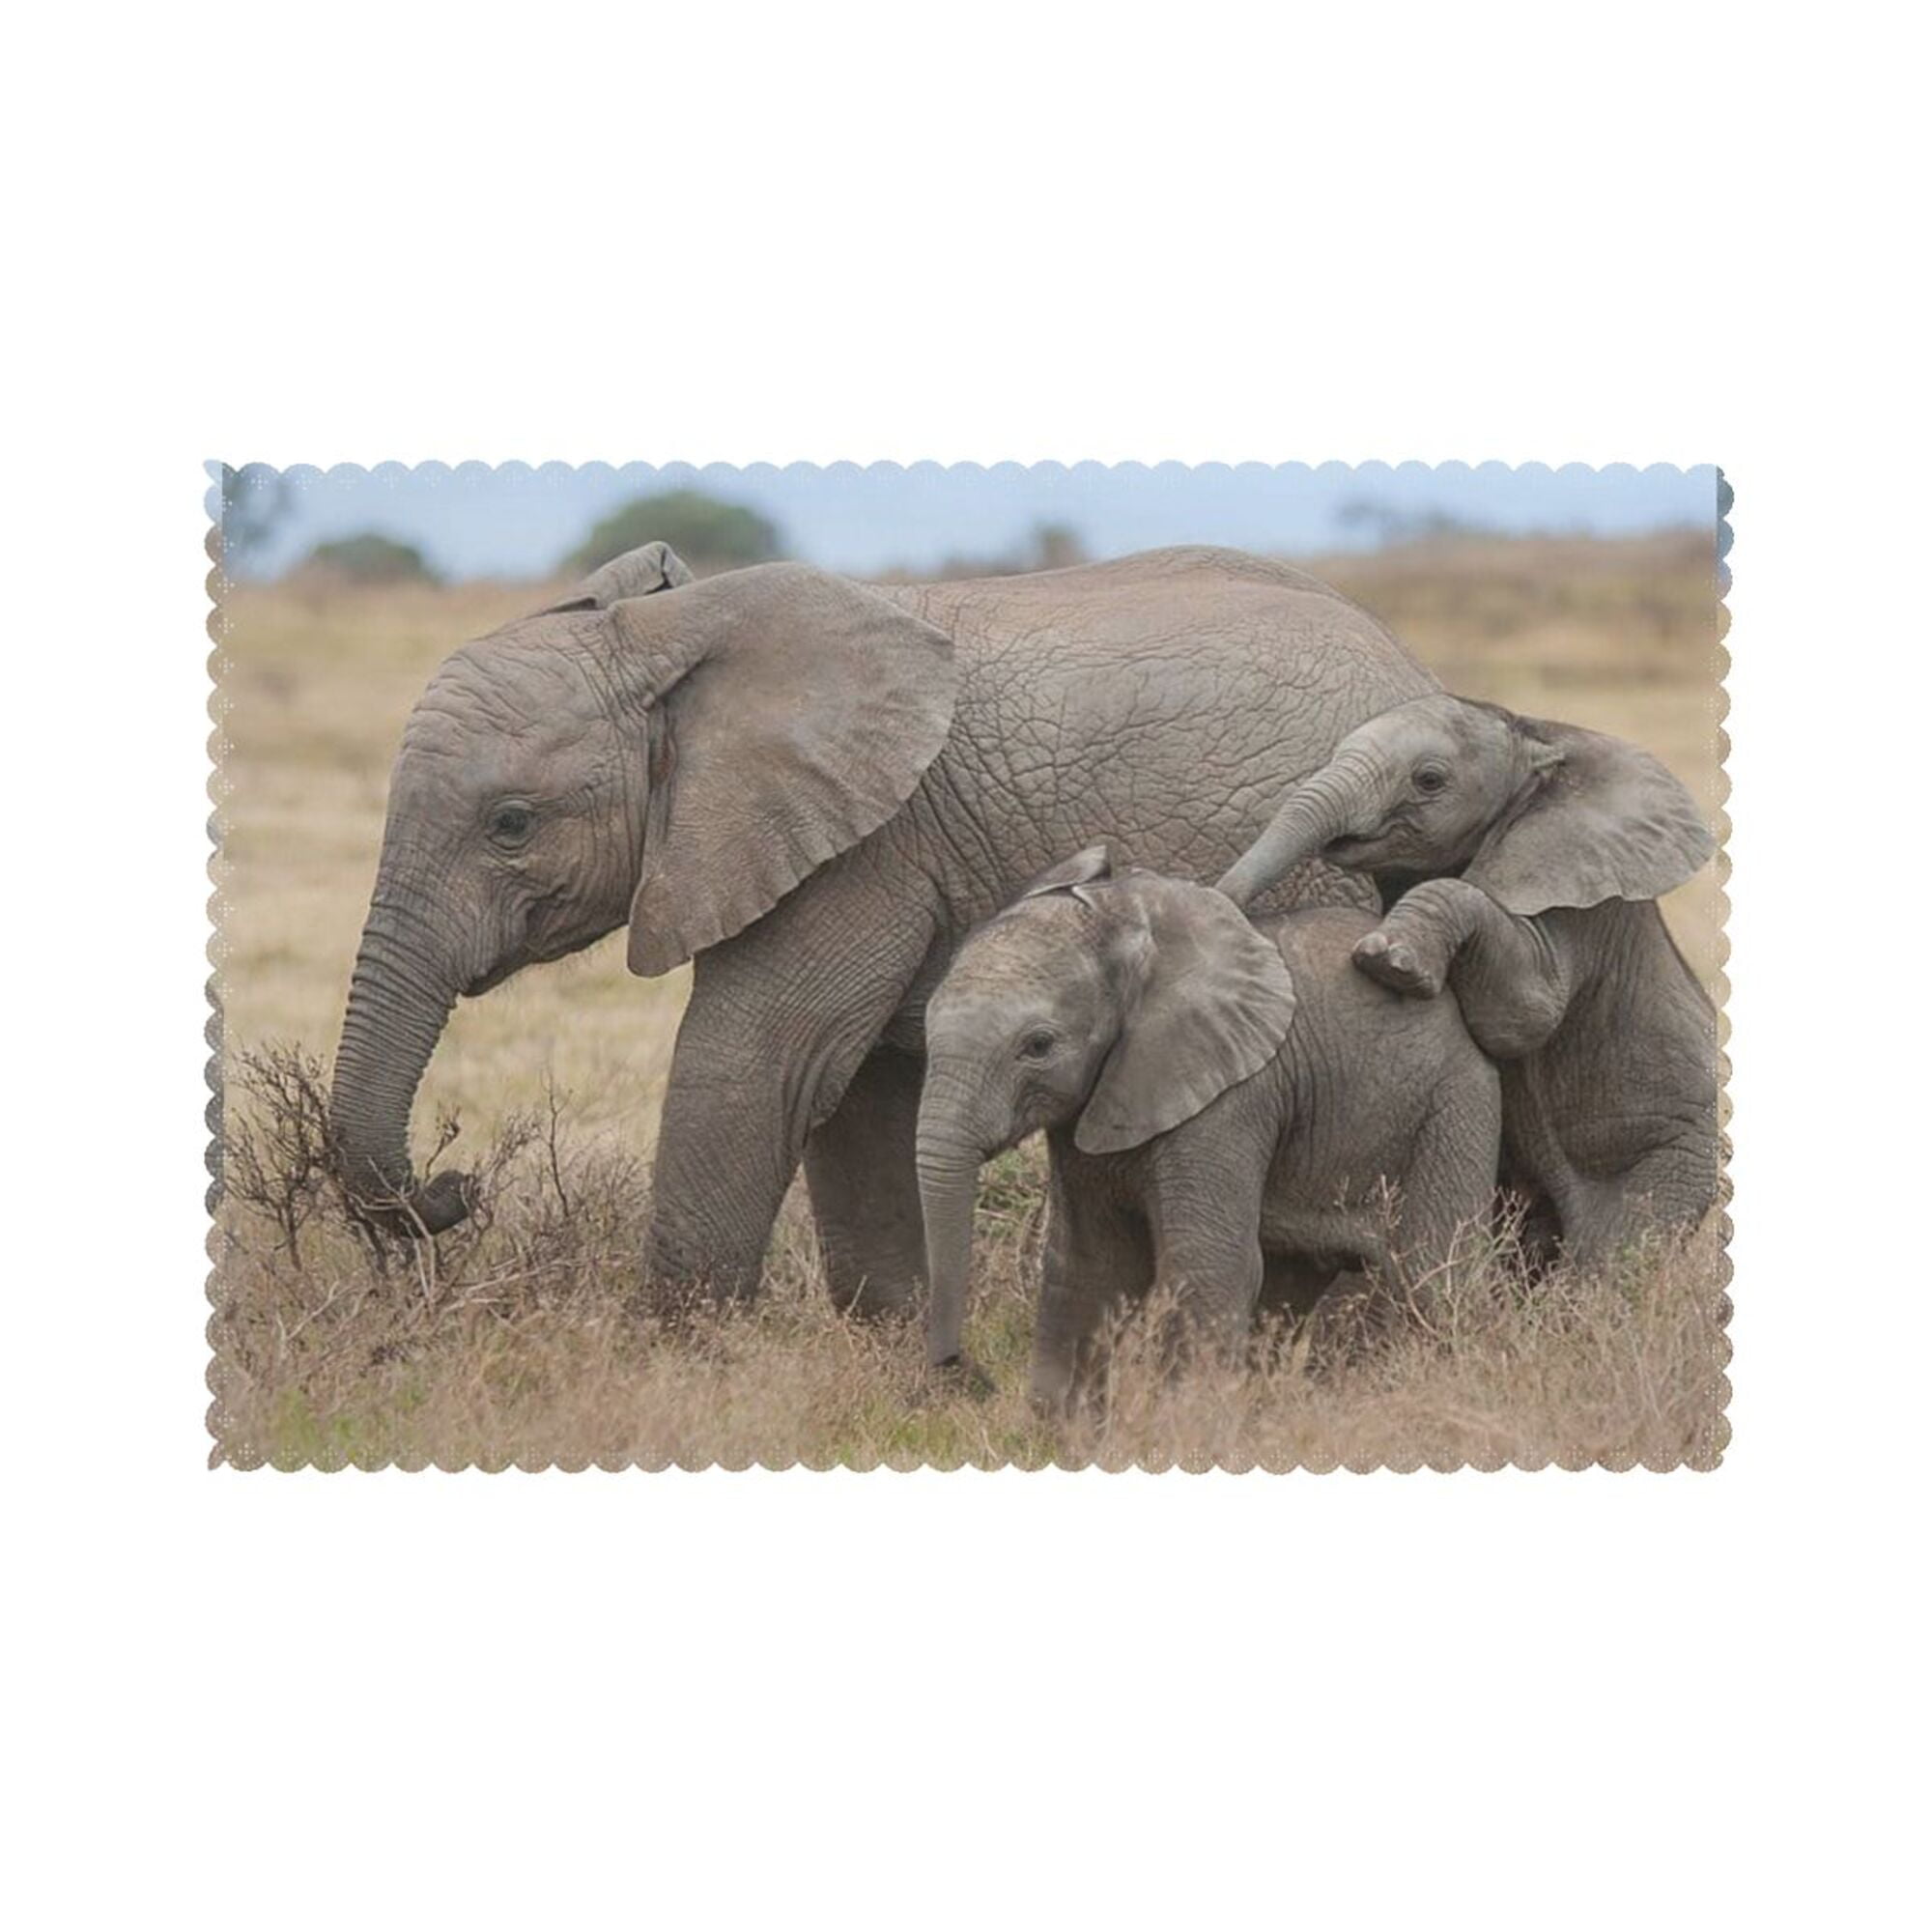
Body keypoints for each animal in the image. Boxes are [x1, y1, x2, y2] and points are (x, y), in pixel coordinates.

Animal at [328, 540, 1442, 1308]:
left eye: (511, 825)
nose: (457, 1184)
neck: (670, 631)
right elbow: (853, 1098)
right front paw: (902, 1357)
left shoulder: (864, 847)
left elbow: (757, 1064)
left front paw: (673, 1361)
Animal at [916, 848, 1502, 1407]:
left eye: (1038, 1045)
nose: (960, 1367)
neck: (1127, 924)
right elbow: (1089, 1266)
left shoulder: (1229, 1101)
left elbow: (1208, 1266)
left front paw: (1186, 1427)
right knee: (1287, 1287)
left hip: (1453, 1108)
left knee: (1432, 1276)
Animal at [1215, 691, 1719, 1269]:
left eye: (1429, 780)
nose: (1220, 899)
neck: (1535, 741)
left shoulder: (1576, 896)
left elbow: (1525, 1013)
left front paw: (1391, 961)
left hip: (1673, 1154)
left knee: (1606, 1256)